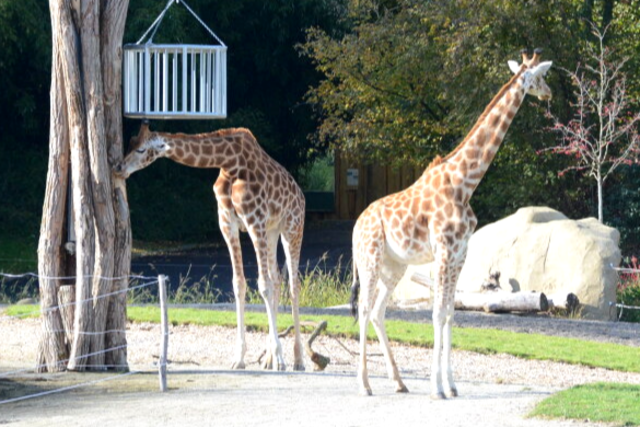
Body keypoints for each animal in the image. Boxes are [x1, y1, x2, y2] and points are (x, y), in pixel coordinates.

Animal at [114, 124, 306, 372]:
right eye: (129, 142)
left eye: (141, 149)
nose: (119, 168)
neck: (230, 163)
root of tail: (301, 196)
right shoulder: (227, 224)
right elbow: (239, 284)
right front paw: (240, 359)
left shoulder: (255, 222)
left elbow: (263, 286)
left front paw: (281, 359)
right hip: (272, 231)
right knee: (277, 279)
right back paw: (270, 359)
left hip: (292, 228)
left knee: (293, 284)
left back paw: (298, 360)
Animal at [350, 49, 552, 398]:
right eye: (541, 76)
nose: (549, 93)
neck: (465, 184)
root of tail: (355, 226)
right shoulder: (444, 252)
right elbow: (437, 313)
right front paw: (437, 388)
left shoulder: (460, 255)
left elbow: (450, 314)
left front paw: (452, 385)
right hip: (369, 259)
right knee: (364, 309)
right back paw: (364, 384)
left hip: (395, 266)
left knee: (377, 311)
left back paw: (399, 382)